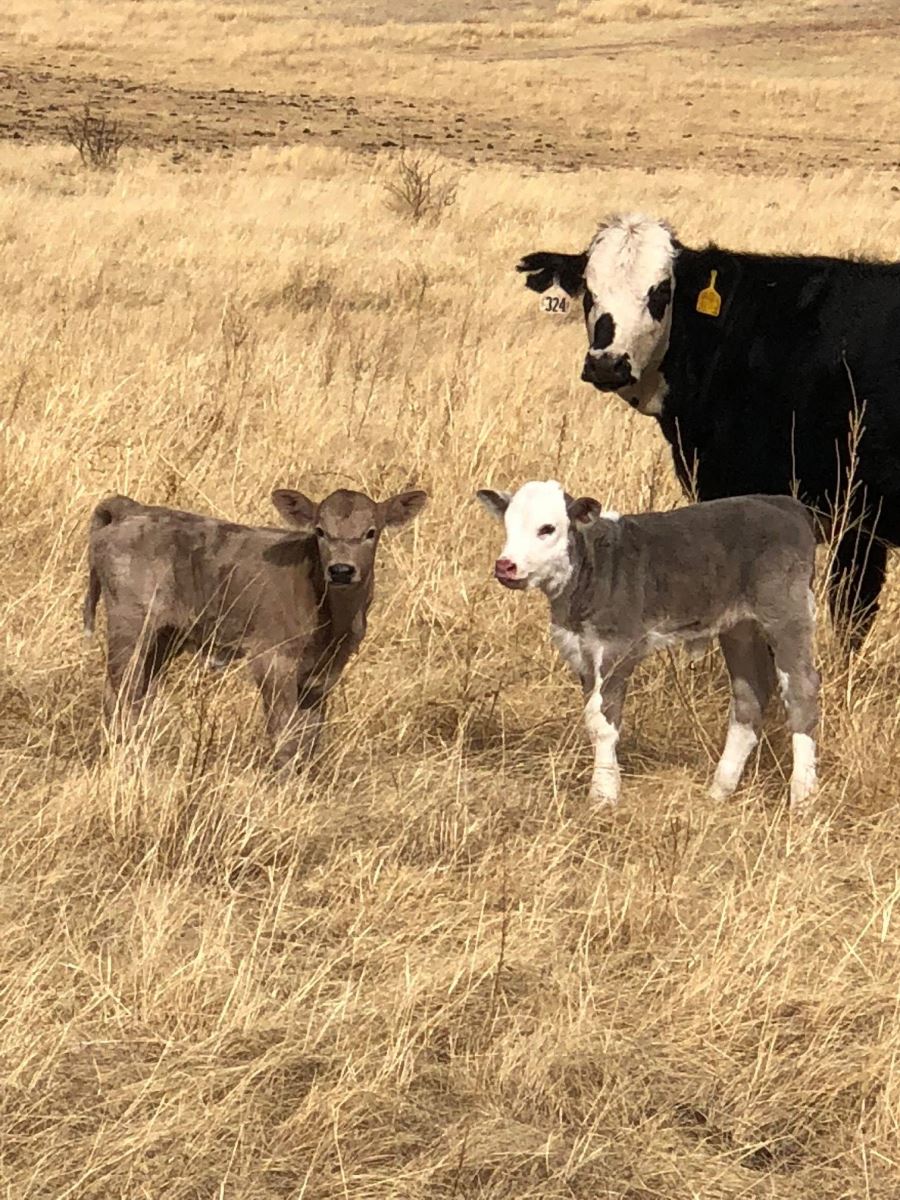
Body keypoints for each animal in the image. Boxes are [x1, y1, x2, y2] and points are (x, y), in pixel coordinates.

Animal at [82, 487, 427, 768]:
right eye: (320, 531)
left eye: (371, 532)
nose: (341, 570)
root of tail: (130, 509)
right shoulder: (272, 658)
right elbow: (284, 732)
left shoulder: (325, 671)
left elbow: (310, 735)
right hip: (130, 624)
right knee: (118, 693)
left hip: (164, 637)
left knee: (139, 695)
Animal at [480, 482, 825, 811]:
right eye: (507, 525)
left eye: (547, 528)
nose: (505, 565)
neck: (593, 568)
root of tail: (785, 504)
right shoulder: (583, 654)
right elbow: (593, 717)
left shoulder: (617, 647)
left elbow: (602, 720)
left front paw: (603, 795)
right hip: (740, 628)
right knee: (750, 695)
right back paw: (719, 791)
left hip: (786, 613)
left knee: (801, 691)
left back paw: (803, 797)